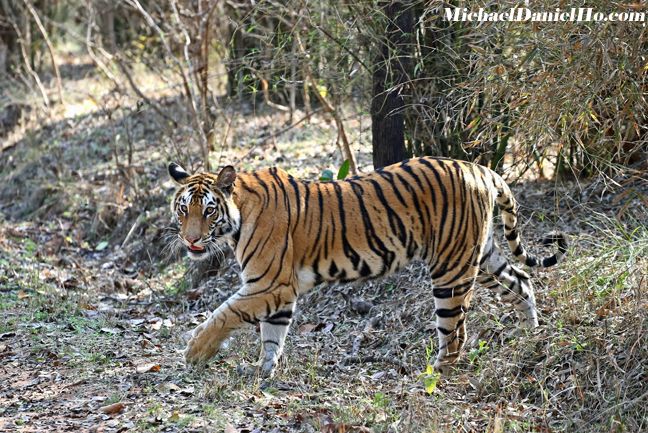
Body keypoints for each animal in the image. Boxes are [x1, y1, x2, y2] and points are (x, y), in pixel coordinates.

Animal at [168, 157, 568, 376]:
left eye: (209, 211)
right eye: (183, 209)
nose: (190, 241)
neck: (238, 217)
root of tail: (480, 168)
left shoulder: (269, 285)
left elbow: (222, 314)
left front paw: (193, 353)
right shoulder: (279, 293)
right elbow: (272, 337)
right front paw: (263, 373)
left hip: (451, 270)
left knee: (455, 332)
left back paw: (435, 374)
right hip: (481, 256)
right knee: (522, 280)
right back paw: (531, 334)